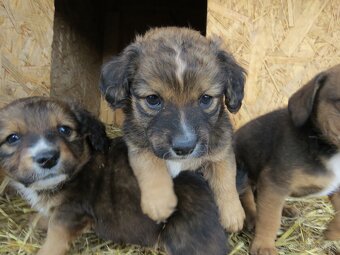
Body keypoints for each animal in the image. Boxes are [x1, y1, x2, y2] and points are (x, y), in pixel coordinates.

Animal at [0, 97, 230, 255]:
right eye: (12, 138)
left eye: (65, 129)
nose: (47, 158)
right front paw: (34, 220)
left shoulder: (71, 213)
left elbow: (54, 239)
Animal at [99, 26, 246, 232]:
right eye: (153, 99)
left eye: (206, 99)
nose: (184, 148)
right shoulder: (137, 144)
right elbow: (150, 163)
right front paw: (160, 203)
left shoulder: (221, 149)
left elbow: (225, 177)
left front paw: (233, 214)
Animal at [234, 64, 340, 255]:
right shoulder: (274, 182)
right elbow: (269, 220)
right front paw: (264, 246)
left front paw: (333, 232)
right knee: (247, 197)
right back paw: (252, 218)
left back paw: (287, 208)